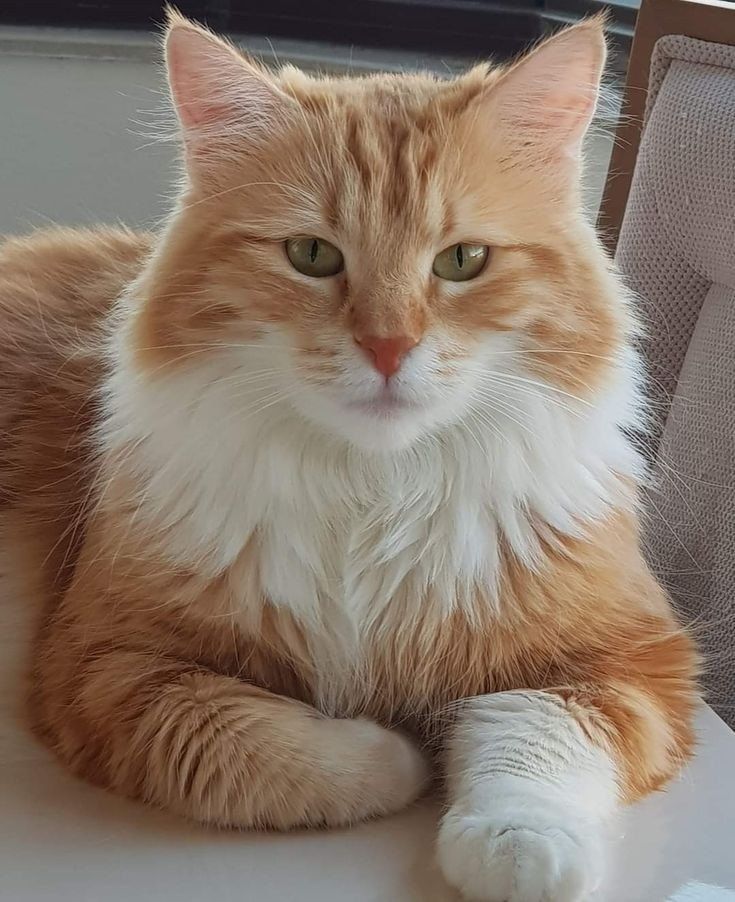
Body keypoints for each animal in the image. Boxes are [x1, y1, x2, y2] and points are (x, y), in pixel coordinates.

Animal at [0, 12, 700, 902]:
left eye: (462, 261)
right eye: (311, 255)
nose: (388, 347)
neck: (376, 490)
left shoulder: (629, 662)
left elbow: (529, 743)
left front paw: (519, 852)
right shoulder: (107, 665)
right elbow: (271, 748)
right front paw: (397, 753)